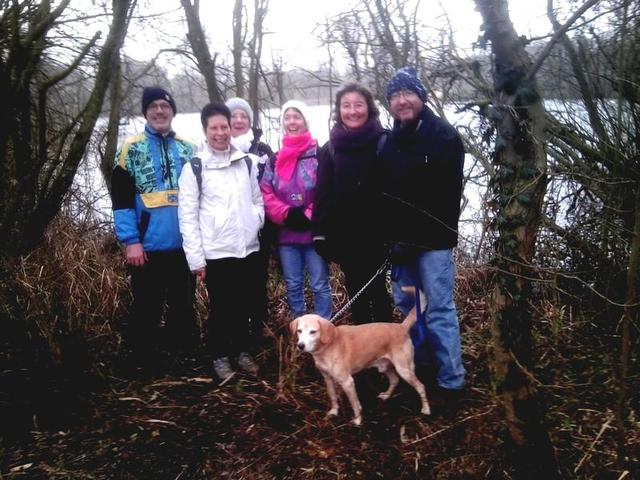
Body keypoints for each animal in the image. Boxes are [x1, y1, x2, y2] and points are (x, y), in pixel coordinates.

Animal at [288, 306, 430, 426]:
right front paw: (334, 412)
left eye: (313, 332)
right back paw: (386, 396)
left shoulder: (347, 382)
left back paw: (426, 409)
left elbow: (355, 404)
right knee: (395, 380)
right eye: (299, 331)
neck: (327, 346)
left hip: (404, 369)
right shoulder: (327, 378)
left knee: (421, 386)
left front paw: (357, 420)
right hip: (386, 366)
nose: (300, 346)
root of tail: (401, 327)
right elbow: (333, 397)